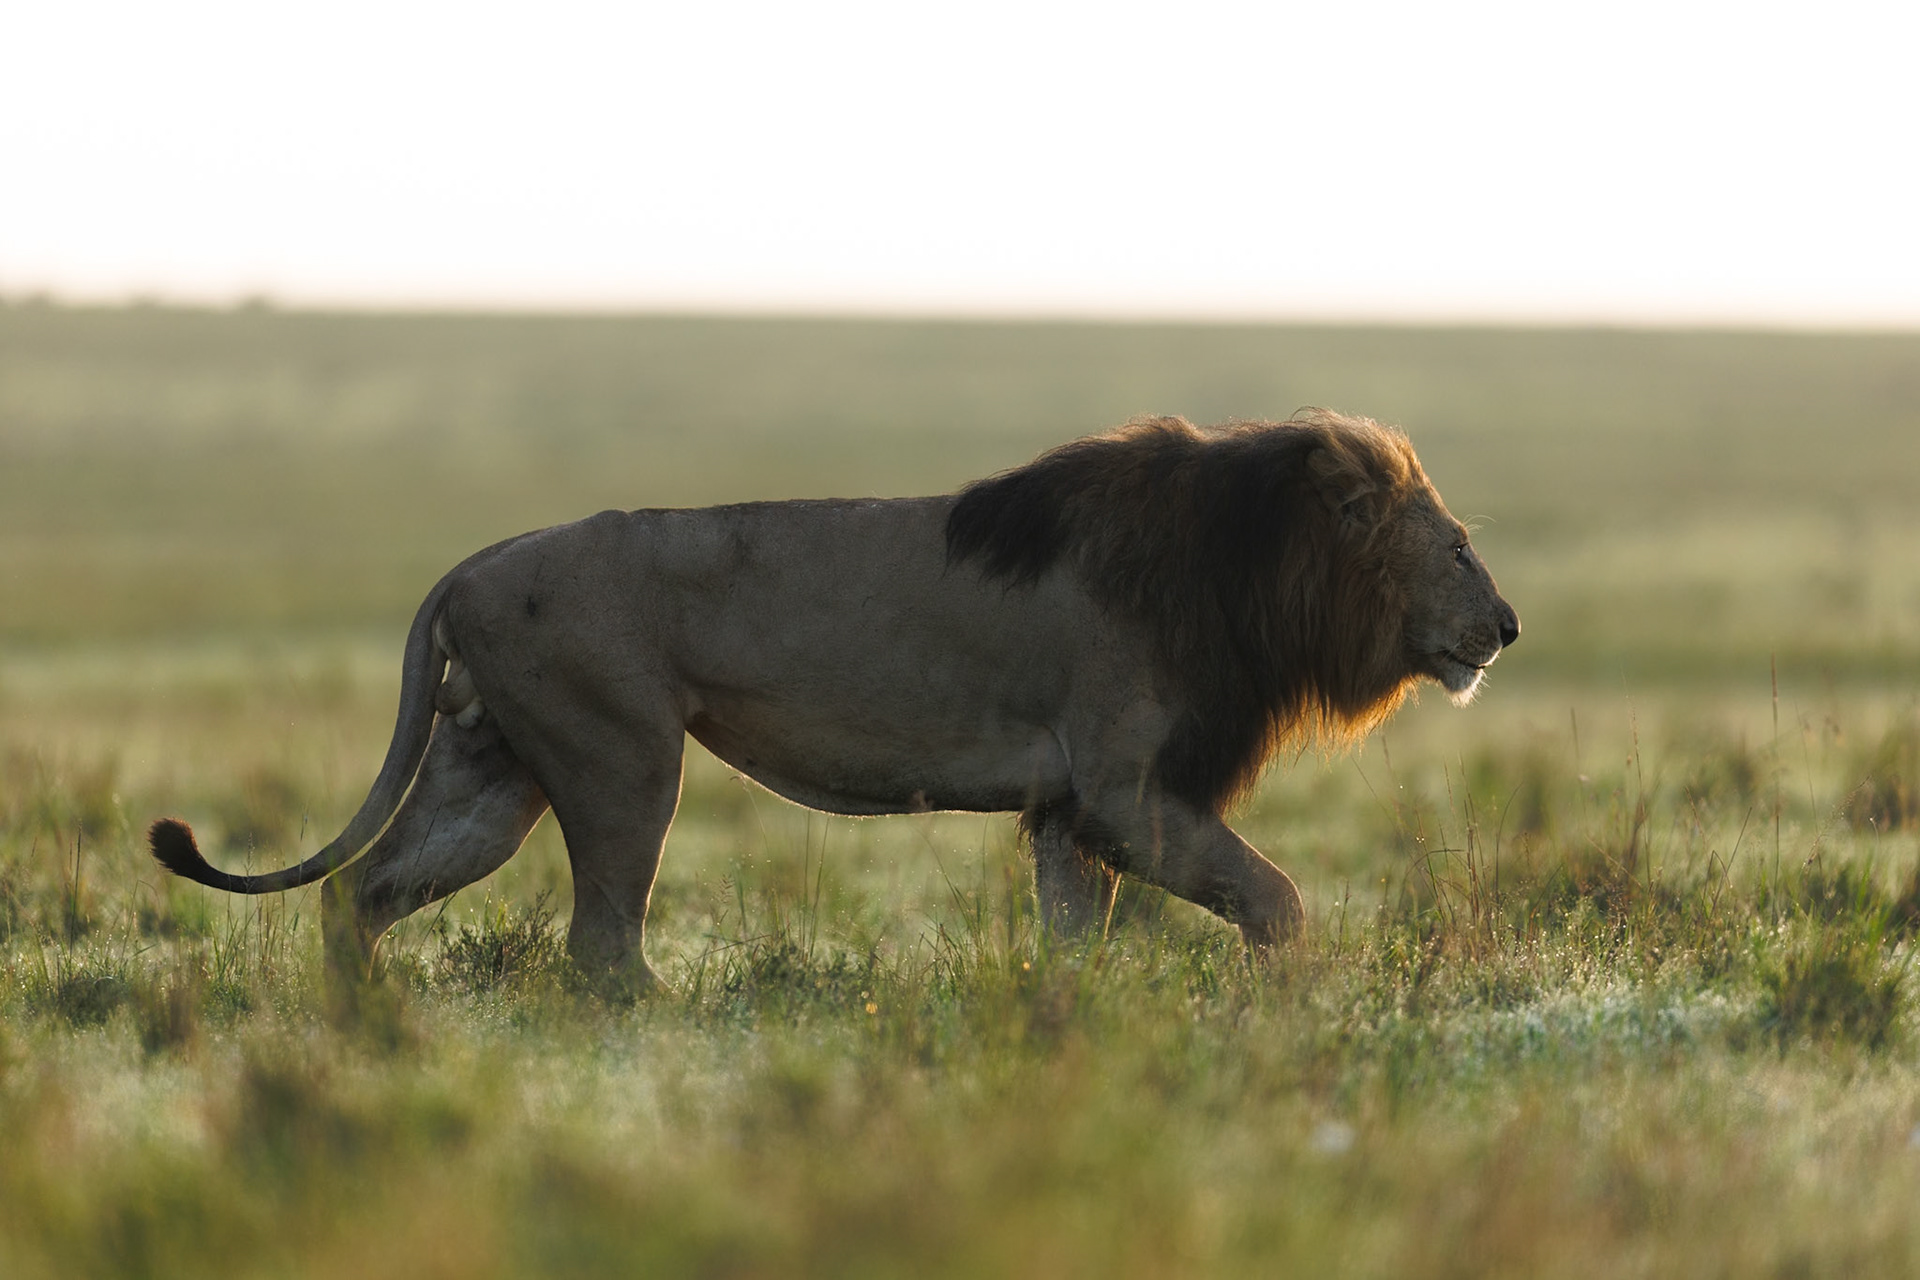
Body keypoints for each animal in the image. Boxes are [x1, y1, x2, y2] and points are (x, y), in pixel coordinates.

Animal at [149, 410, 1518, 986]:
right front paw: (1287, 1006)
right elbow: (1276, 897)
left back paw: (366, 1032)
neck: (1251, 566)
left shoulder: (1075, 810)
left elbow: (1078, 936)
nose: (1506, 627)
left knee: (359, 896)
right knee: (600, 941)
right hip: (625, 760)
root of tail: (470, 563)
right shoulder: (1129, 786)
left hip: (492, 774)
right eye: (1457, 547)